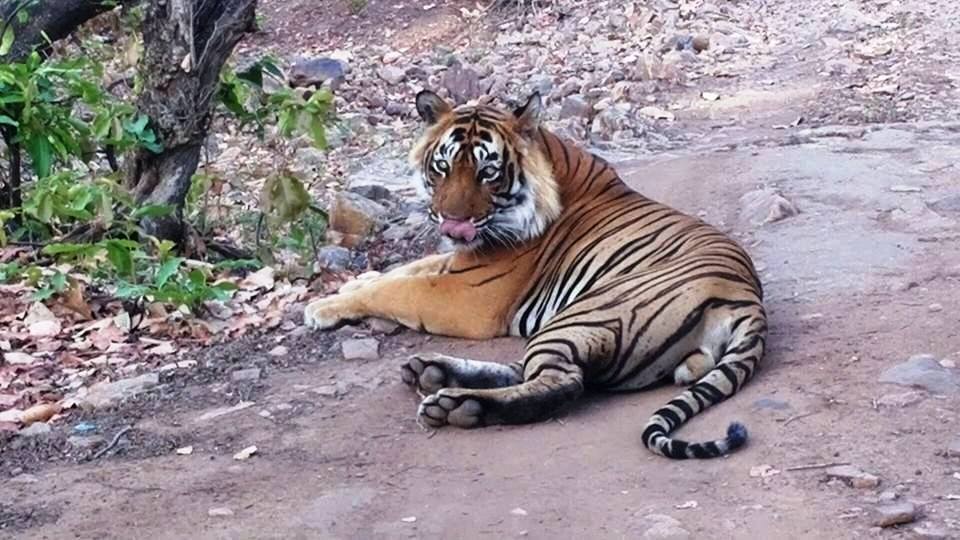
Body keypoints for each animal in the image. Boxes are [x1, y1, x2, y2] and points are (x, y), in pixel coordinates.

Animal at [304, 90, 768, 459]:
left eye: (487, 172)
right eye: (443, 168)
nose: (453, 224)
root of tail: (747, 301)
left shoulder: (468, 293)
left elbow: (399, 288)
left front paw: (320, 307)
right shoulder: (458, 263)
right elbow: (403, 270)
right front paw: (348, 286)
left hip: (589, 312)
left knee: (563, 382)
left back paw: (458, 404)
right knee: (531, 370)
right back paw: (431, 371)